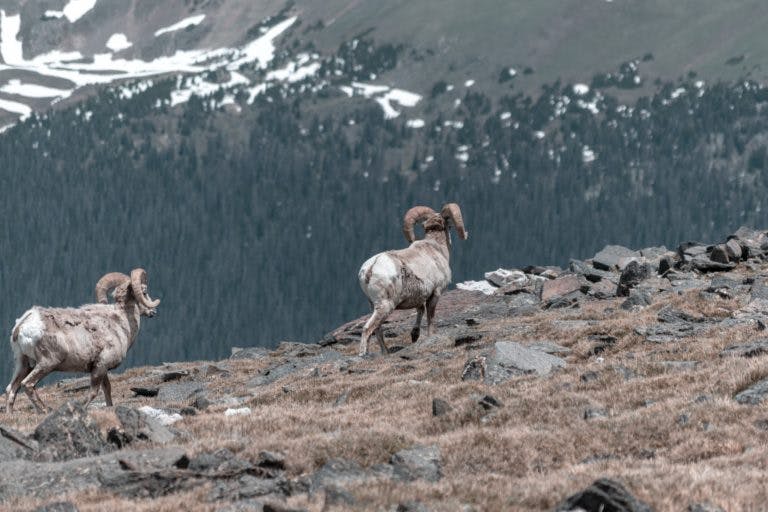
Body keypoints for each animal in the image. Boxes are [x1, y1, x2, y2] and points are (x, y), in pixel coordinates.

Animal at [4, 268, 160, 413]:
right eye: (144, 292)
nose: (153, 312)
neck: (121, 322)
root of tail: (22, 325)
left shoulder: (102, 368)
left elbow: (107, 389)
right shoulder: (100, 366)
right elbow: (93, 392)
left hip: (23, 363)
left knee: (11, 388)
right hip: (46, 363)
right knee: (27, 384)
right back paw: (45, 410)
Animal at [358, 203, 468, 356]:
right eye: (449, 226)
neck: (436, 249)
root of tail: (370, 268)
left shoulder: (419, 297)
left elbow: (420, 310)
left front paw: (414, 335)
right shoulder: (436, 293)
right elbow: (430, 317)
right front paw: (430, 336)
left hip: (373, 305)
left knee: (378, 329)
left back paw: (386, 352)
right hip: (385, 305)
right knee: (368, 328)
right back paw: (363, 354)